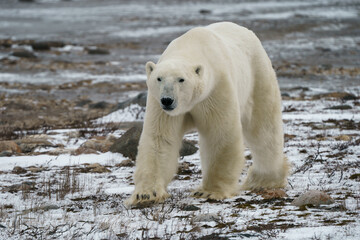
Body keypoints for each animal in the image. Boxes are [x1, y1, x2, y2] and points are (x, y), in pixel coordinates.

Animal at [125, 22, 288, 205]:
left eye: (181, 79)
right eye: (159, 78)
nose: (167, 100)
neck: (190, 46)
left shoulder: (215, 91)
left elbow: (220, 135)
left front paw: (209, 192)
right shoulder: (158, 105)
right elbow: (160, 138)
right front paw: (146, 194)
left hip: (257, 76)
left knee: (263, 129)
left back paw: (264, 179)